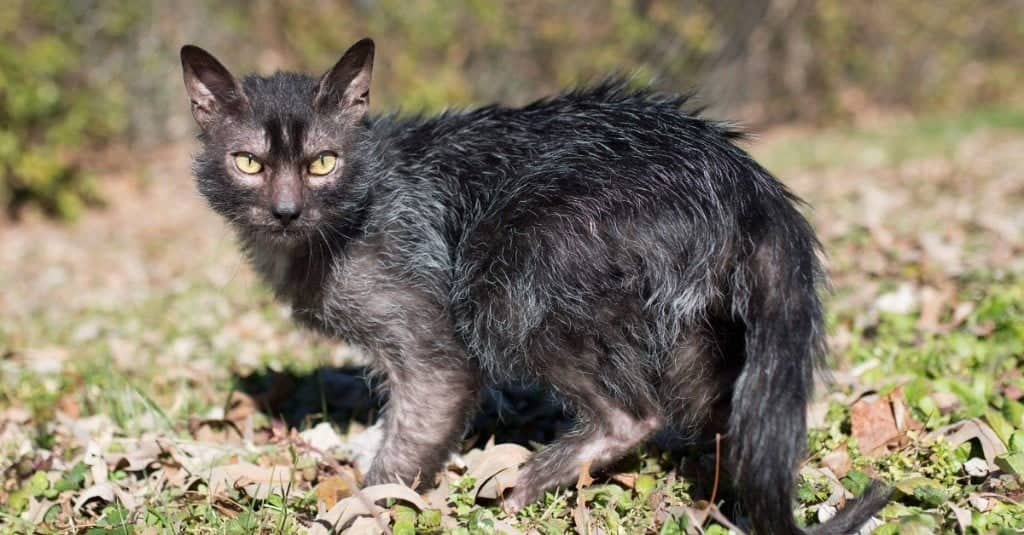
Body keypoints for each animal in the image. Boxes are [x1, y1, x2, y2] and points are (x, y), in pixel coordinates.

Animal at [182, 38, 888, 532]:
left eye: (323, 163)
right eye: (248, 163)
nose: (285, 211)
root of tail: (744, 177)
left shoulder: (434, 349)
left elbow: (407, 443)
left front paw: (359, 510)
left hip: (508, 277)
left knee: (634, 413)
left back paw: (534, 481)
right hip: (694, 329)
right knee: (717, 414)